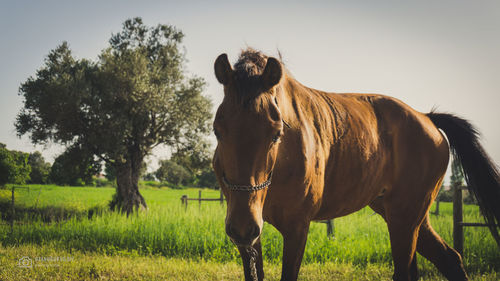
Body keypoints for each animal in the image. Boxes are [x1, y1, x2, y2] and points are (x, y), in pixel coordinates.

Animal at [211, 48, 500, 280]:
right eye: (217, 131)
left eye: (276, 133)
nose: (242, 226)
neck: (282, 163)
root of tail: (427, 118)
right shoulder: (250, 237)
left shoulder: (296, 228)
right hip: (406, 216)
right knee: (449, 259)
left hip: (405, 218)